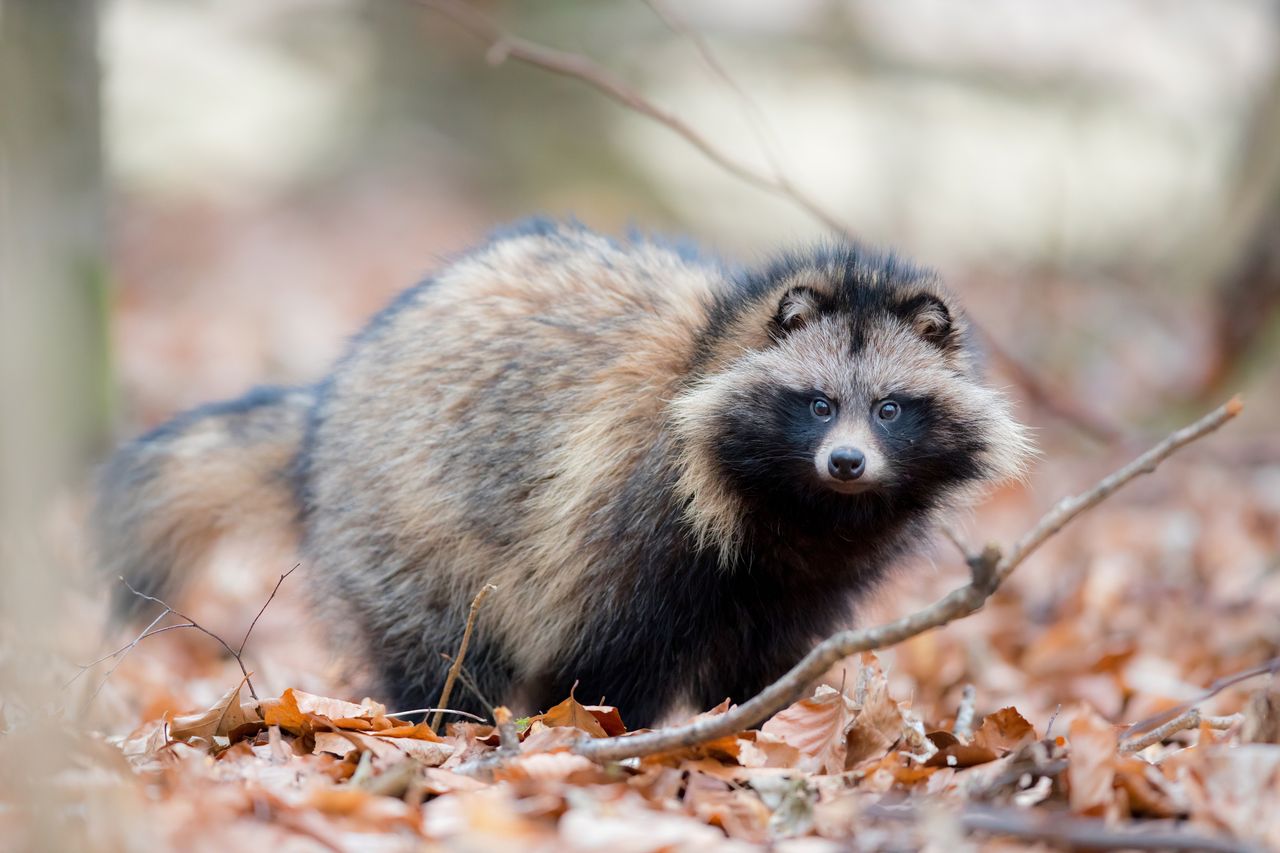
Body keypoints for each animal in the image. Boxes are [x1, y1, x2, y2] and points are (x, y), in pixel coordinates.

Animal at [102, 219, 1039, 722]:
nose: (846, 461)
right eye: (815, 403)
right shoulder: (633, 509)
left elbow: (771, 656)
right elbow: (603, 654)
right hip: (404, 520)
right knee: (439, 639)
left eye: (888, 409)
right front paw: (612, 733)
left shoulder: (807, 580)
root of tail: (322, 419)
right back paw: (443, 717)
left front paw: (758, 718)